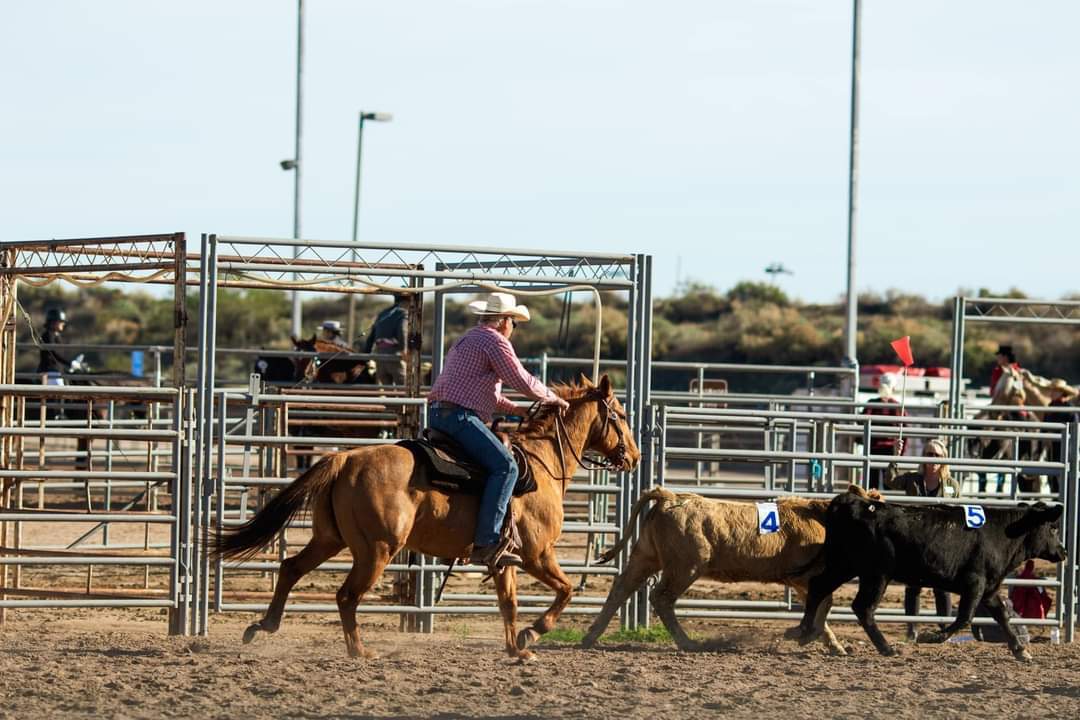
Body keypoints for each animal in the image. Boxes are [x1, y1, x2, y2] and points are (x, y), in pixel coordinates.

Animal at [211, 374, 639, 660]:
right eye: (619, 415)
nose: (634, 457)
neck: (541, 462)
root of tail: (345, 458)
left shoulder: (505, 560)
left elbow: (509, 603)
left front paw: (516, 649)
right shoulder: (538, 554)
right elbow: (565, 590)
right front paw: (532, 635)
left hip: (329, 539)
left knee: (291, 568)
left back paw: (262, 626)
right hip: (377, 550)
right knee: (346, 595)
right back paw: (359, 650)